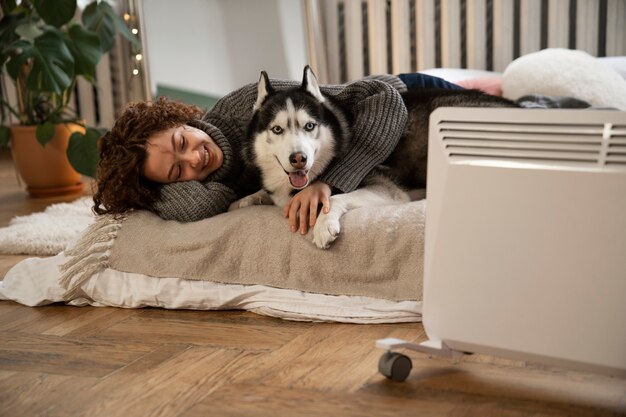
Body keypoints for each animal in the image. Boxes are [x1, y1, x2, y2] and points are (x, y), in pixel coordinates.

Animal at [236, 66, 516, 247]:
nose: (299, 158)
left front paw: (324, 224)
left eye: (309, 126)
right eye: (277, 129)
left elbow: (335, 198)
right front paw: (245, 199)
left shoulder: (386, 189)